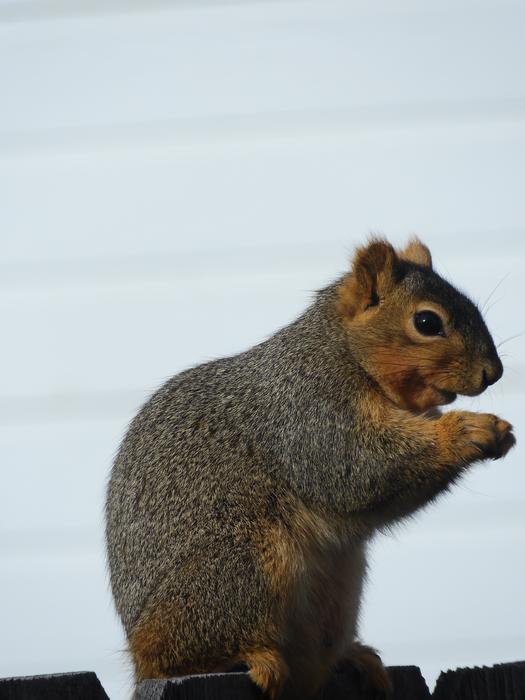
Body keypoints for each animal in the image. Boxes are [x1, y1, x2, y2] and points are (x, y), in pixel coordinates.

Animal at [105, 237, 515, 699]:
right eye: (427, 321)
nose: (494, 373)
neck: (341, 351)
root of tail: (138, 653)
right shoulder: (310, 413)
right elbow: (359, 468)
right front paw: (468, 429)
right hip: (240, 566)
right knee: (177, 653)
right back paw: (251, 657)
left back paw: (354, 658)